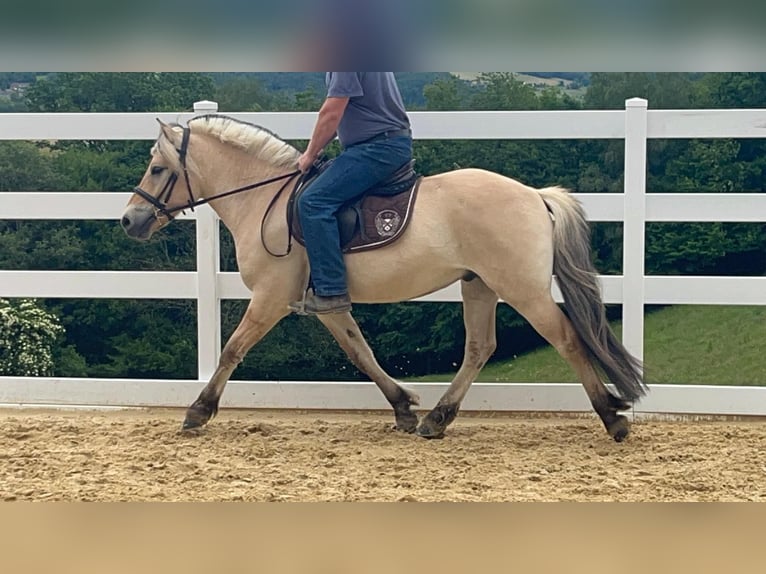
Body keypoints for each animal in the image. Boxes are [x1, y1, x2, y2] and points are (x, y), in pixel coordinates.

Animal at [121, 114, 646, 441]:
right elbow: (361, 352)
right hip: (479, 285)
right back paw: (437, 419)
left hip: (522, 289)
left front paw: (197, 411)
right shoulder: (325, 304)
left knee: (567, 339)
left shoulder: (270, 297)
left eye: (158, 168)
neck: (264, 200)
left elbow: (232, 349)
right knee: (480, 348)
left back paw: (612, 418)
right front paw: (402, 407)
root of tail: (535, 195)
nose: (129, 220)